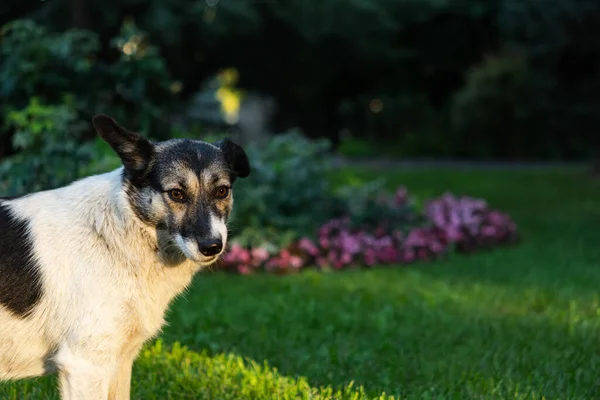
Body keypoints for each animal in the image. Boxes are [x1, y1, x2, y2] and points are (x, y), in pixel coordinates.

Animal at [0, 114, 251, 398]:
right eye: (176, 193)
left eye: (222, 191)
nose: (212, 246)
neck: (116, 231)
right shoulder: (85, 366)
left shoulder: (119, 362)